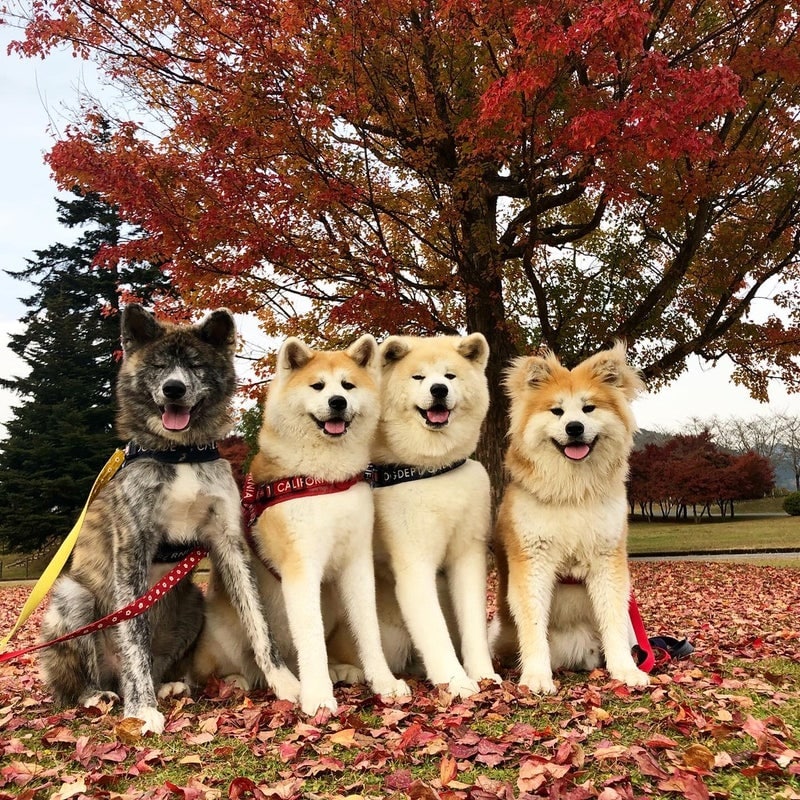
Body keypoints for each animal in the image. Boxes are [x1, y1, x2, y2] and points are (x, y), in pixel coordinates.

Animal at [191, 334, 410, 716]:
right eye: (318, 386)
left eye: (348, 386)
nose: (337, 402)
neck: (326, 478)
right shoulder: (301, 568)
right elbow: (311, 641)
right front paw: (318, 696)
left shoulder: (356, 565)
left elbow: (369, 632)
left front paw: (383, 682)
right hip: (228, 629)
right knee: (228, 666)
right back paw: (236, 680)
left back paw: (341, 669)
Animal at [326, 334, 500, 696]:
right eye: (418, 377)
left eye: (449, 376)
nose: (439, 390)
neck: (431, 470)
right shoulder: (414, 561)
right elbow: (434, 631)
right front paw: (456, 681)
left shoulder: (468, 556)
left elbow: (473, 625)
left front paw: (483, 674)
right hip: (384, 629)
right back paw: (344, 671)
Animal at [490, 344, 652, 692]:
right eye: (557, 412)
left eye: (588, 409)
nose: (574, 427)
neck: (571, 493)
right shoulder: (532, 560)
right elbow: (533, 625)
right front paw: (536, 675)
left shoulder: (608, 559)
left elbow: (613, 621)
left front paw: (625, 669)